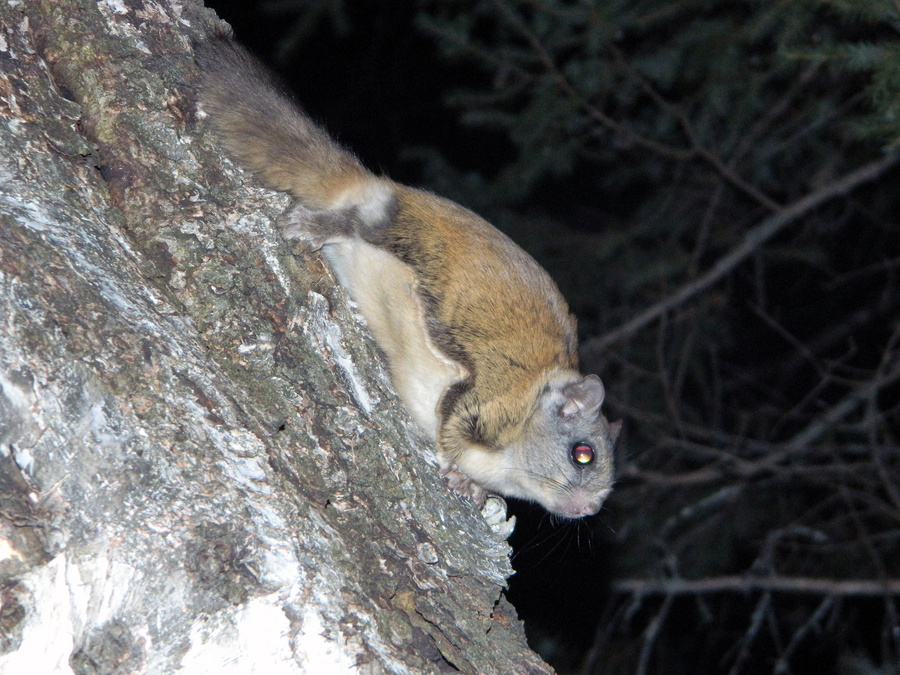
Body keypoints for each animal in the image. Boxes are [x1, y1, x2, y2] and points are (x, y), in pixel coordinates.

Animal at [195, 34, 620, 519]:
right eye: (583, 454)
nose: (589, 510)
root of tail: (378, 187)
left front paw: (477, 490)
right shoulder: (489, 401)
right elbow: (451, 427)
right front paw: (459, 475)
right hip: (398, 234)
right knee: (354, 223)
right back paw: (315, 225)